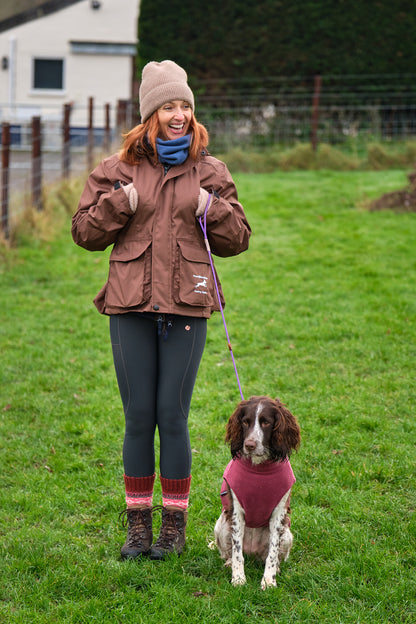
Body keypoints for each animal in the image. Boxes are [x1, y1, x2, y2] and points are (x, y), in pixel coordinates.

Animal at [214, 398, 300, 588]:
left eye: (266, 422)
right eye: (245, 422)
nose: (249, 445)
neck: (259, 467)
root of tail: (253, 552)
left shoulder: (279, 513)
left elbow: (272, 553)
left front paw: (268, 581)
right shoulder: (236, 511)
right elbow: (237, 551)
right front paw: (238, 578)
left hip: (287, 534)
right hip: (221, 526)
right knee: (230, 552)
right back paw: (229, 563)